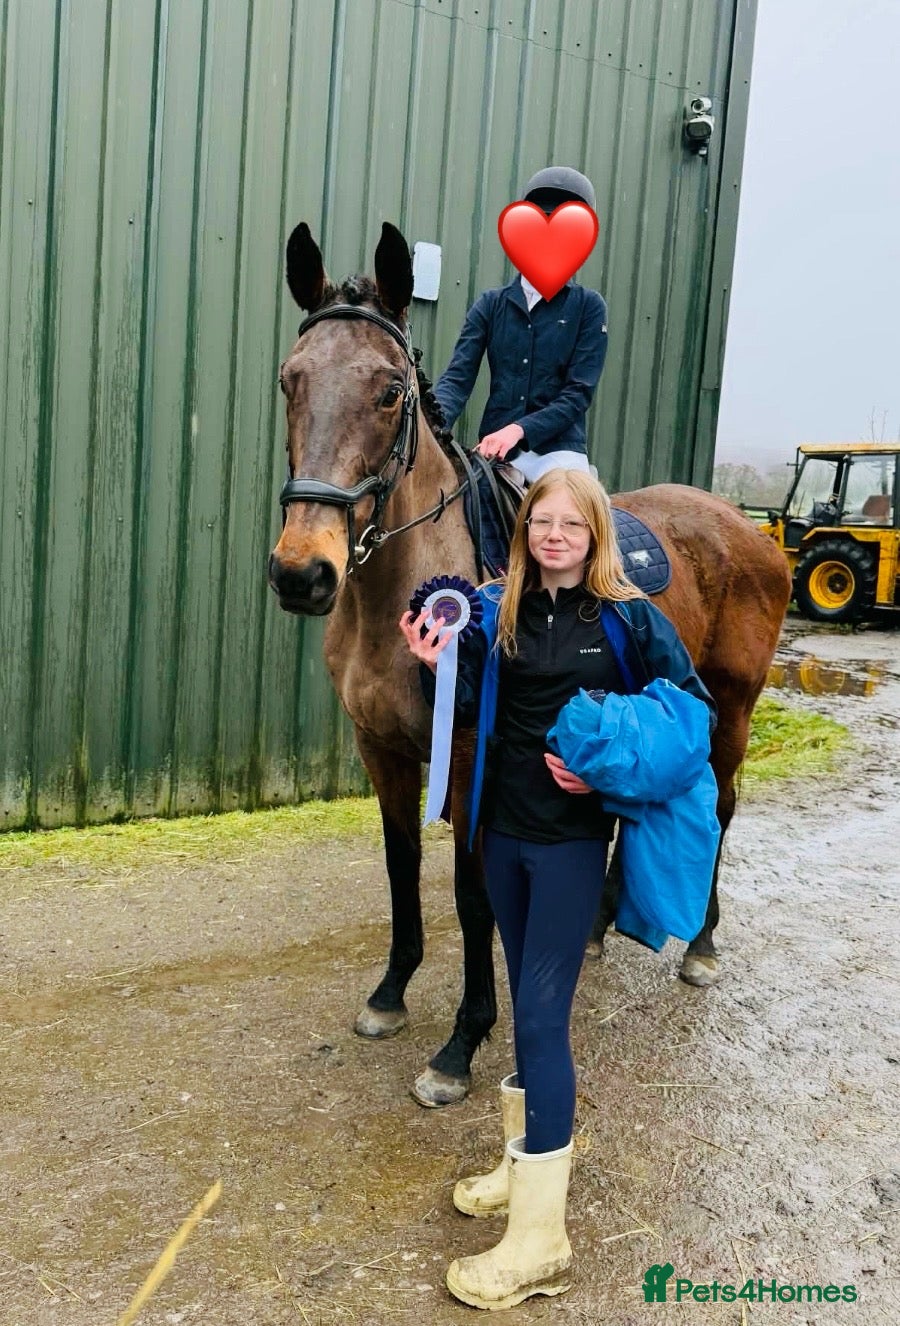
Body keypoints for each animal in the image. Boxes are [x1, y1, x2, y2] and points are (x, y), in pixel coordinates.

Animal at [268, 220, 792, 1107]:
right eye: (289, 382)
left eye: (390, 391)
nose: (303, 575)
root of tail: (744, 526)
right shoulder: (382, 749)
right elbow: (401, 864)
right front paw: (390, 994)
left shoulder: (471, 750)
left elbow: (471, 887)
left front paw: (461, 1044)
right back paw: (599, 928)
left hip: (731, 704)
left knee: (721, 806)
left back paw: (701, 947)